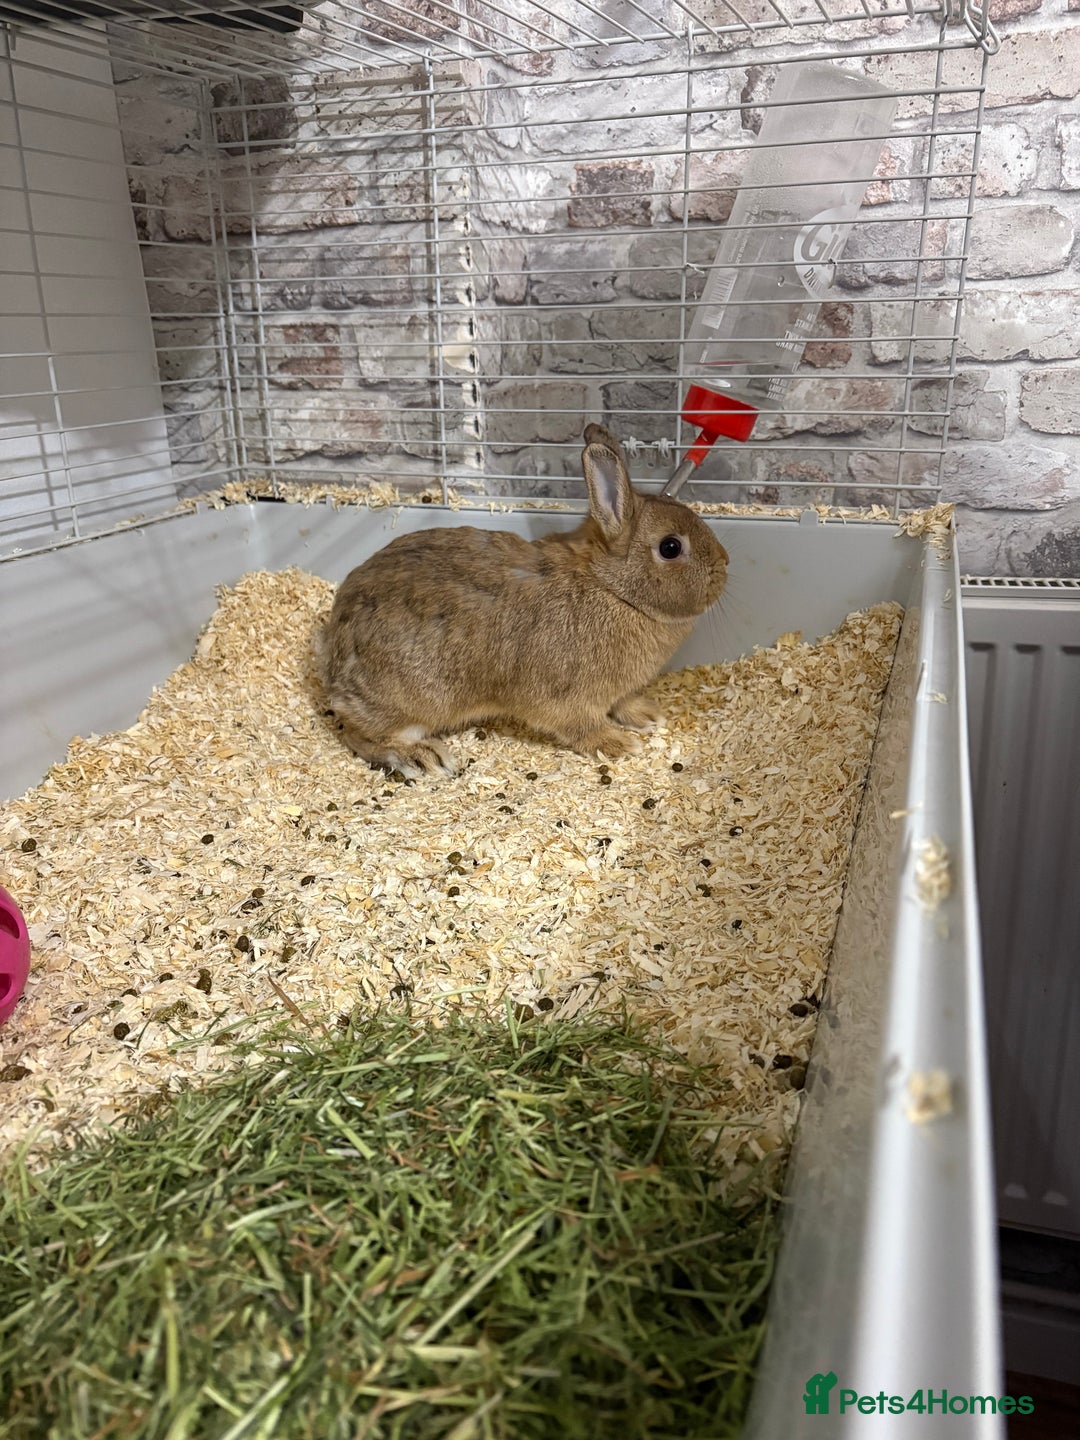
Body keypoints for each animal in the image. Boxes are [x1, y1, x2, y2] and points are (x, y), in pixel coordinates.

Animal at [317, 423, 728, 777]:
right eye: (671, 547)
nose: (725, 565)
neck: (613, 589)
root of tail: (335, 655)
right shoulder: (566, 699)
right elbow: (581, 726)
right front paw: (617, 743)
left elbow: (623, 702)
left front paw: (647, 715)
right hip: (410, 702)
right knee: (358, 734)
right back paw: (421, 756)